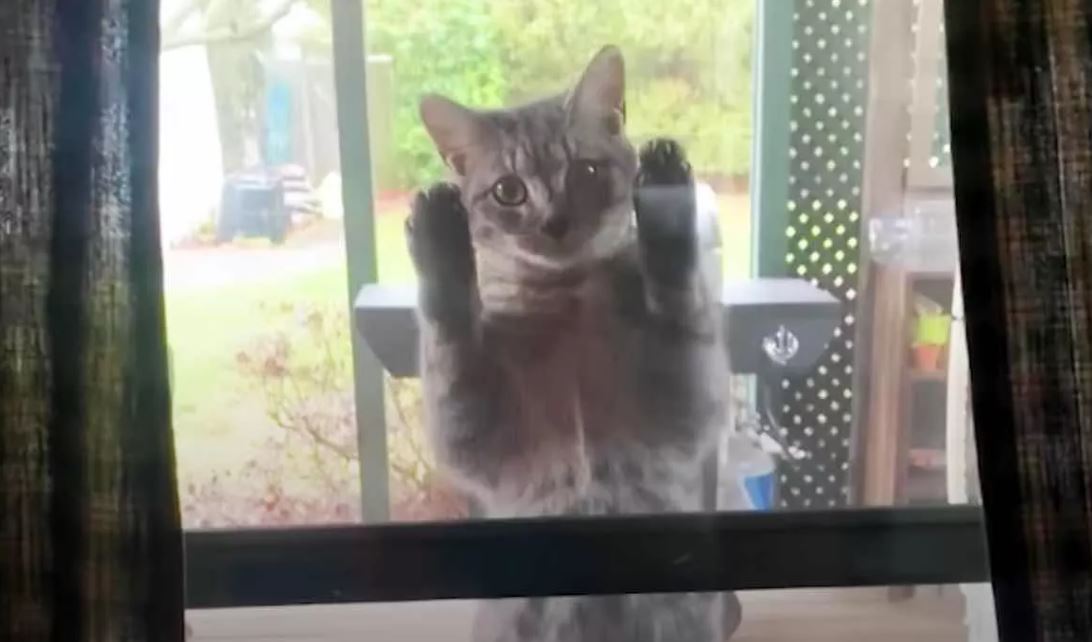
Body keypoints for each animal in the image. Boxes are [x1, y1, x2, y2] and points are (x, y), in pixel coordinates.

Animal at [410, 46, 742, 642]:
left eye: (585, 170)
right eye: (509, 190)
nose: (556, 222)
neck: (569, 299)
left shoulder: (688, 402)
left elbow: (678, 290)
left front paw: (665, 191)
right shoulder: (473, 433)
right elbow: (449, 335)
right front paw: (438, 235)